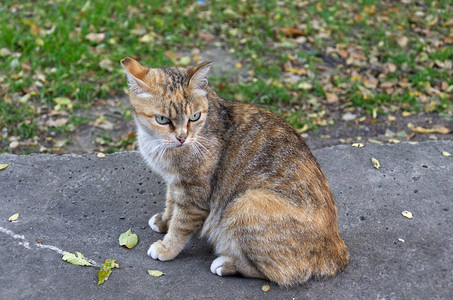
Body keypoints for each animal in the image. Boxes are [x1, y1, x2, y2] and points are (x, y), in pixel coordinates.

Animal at [119, 56, 346, 286]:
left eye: (194, 116)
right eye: (163, 119)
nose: (182, 137)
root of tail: (337, 249)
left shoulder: (193, 194)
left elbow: (180, 225)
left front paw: (167, 247)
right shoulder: (174, 182)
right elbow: (171, 205)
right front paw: (164, 221)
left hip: (246, 202)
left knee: (279, 272)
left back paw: (228, 264)